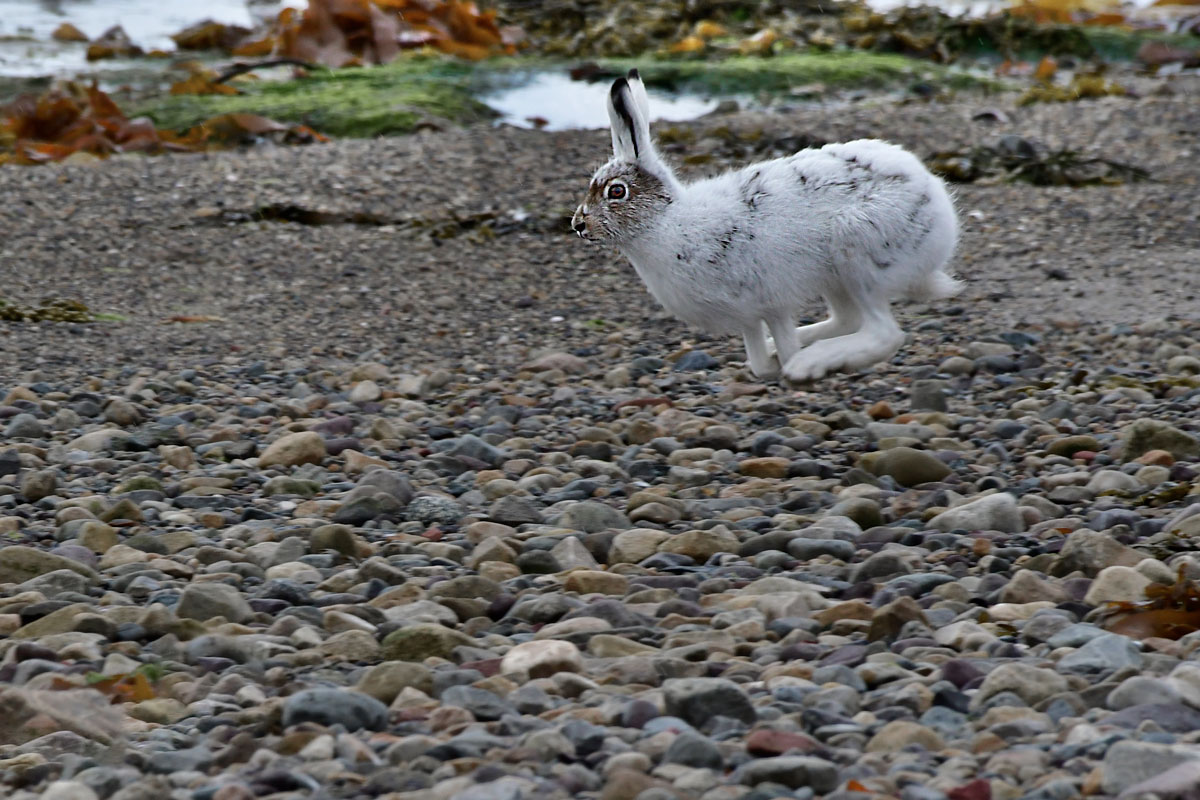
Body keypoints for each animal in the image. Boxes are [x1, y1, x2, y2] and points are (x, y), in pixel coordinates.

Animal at [571, 69, 961, 382]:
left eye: (616, 191)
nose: (578, 225)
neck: (665, 220)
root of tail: (940, 212)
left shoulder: (771, 300)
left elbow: (780, 344)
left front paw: (787, 363)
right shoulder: (748, 316)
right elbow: (757, 361)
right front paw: (771, 361)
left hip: (859, 254)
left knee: (884, 333)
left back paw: (810, 364)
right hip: (836, 278)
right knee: (849, 319)